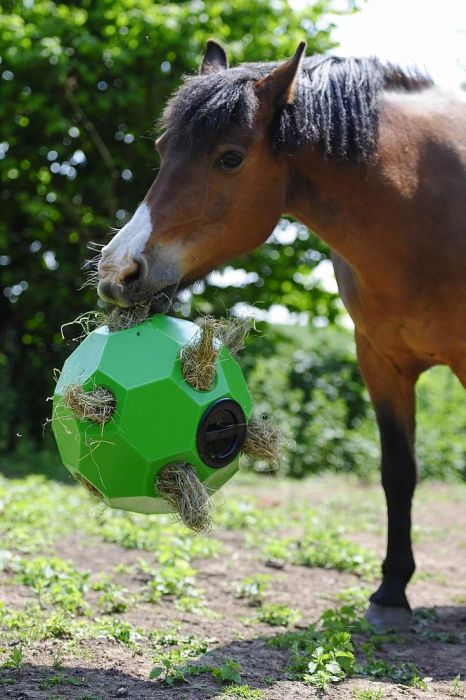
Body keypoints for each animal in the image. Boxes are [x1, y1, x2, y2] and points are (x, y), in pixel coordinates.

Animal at [97, 39, 466, 628]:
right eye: (161, 148)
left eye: (230, 157)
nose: (117, 273)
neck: (421, 203)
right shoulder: (380, 361)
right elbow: (398, 473)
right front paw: (390, 592)